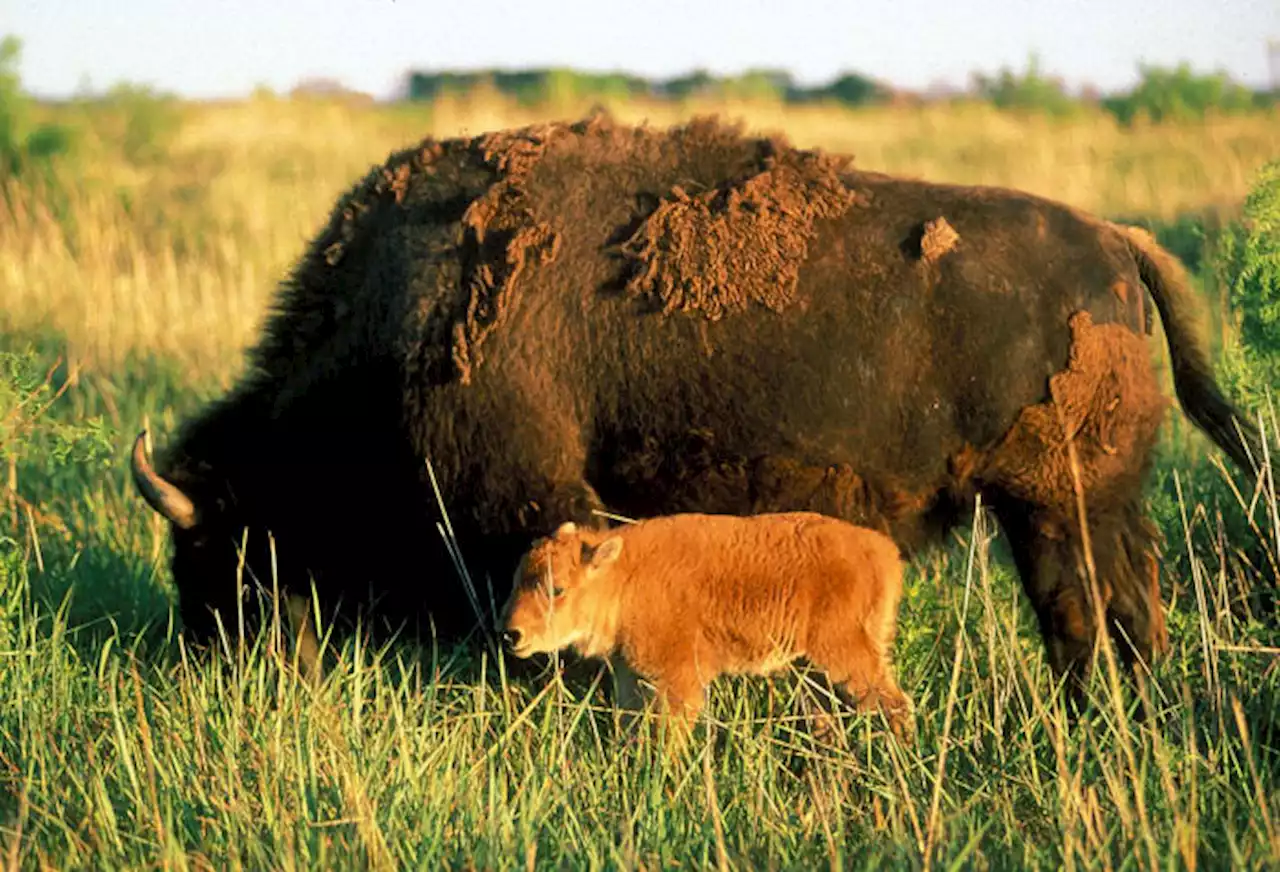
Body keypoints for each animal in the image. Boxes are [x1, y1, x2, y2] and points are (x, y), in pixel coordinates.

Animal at [127, 112, 1259, 691]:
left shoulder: (521, 508)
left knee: (1082, 613)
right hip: (1088, 508)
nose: (212, 670)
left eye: (221, 553)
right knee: (1125, 606)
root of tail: (1116, 242)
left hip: (1055, 509)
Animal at [496, 514, 911, 742]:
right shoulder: (631, 677)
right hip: (810, 672)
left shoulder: (680, 683)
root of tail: (884, 552)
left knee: (895, 704)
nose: (511, 633)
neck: (624, 578)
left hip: (845, 657)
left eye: (557, 588)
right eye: (516, 580)